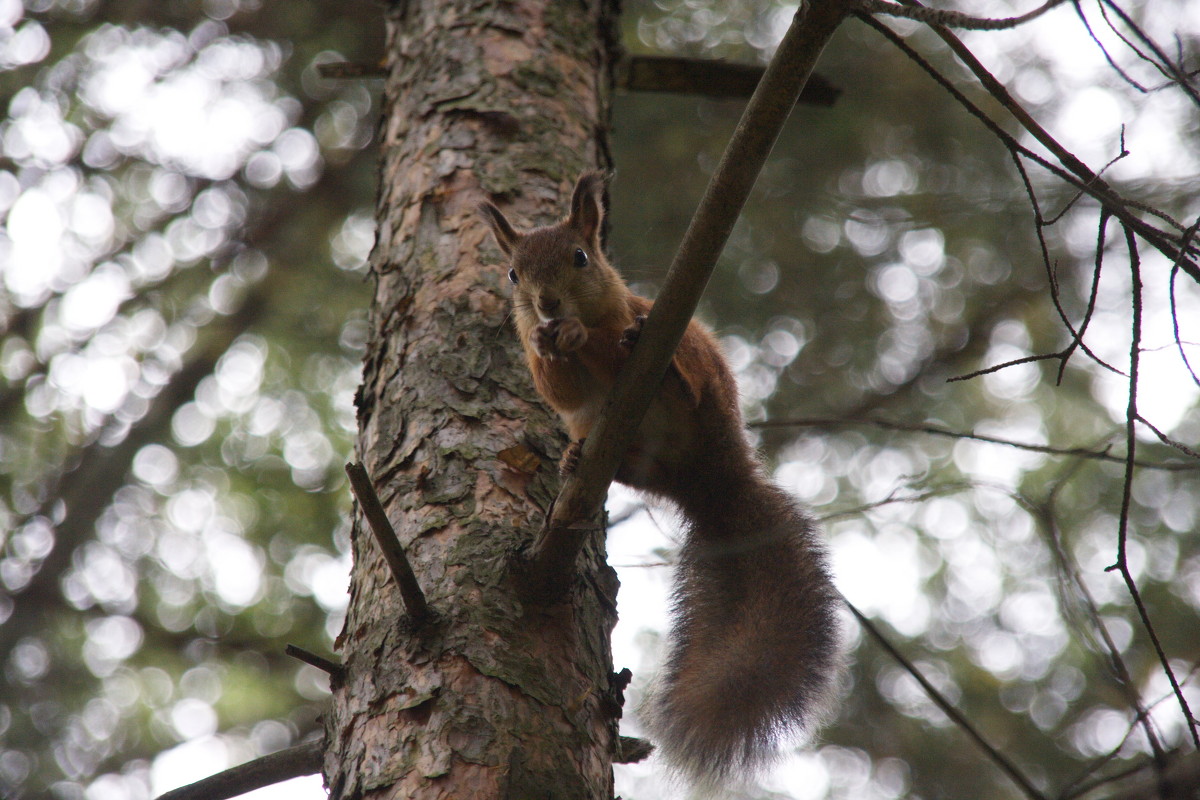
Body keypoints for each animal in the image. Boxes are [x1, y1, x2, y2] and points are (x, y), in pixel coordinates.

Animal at [480, 172, 844, 791]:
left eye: (580, 257)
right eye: (513, 274)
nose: (546, 305)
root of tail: (714, 480)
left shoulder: (626, 313)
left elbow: (605, 339)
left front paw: (579, 334)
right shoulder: (555, 379)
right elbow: (559, 388)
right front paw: (549, 345)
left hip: (694, 359)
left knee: (685, 380)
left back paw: (667, 376)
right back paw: (576, 457)